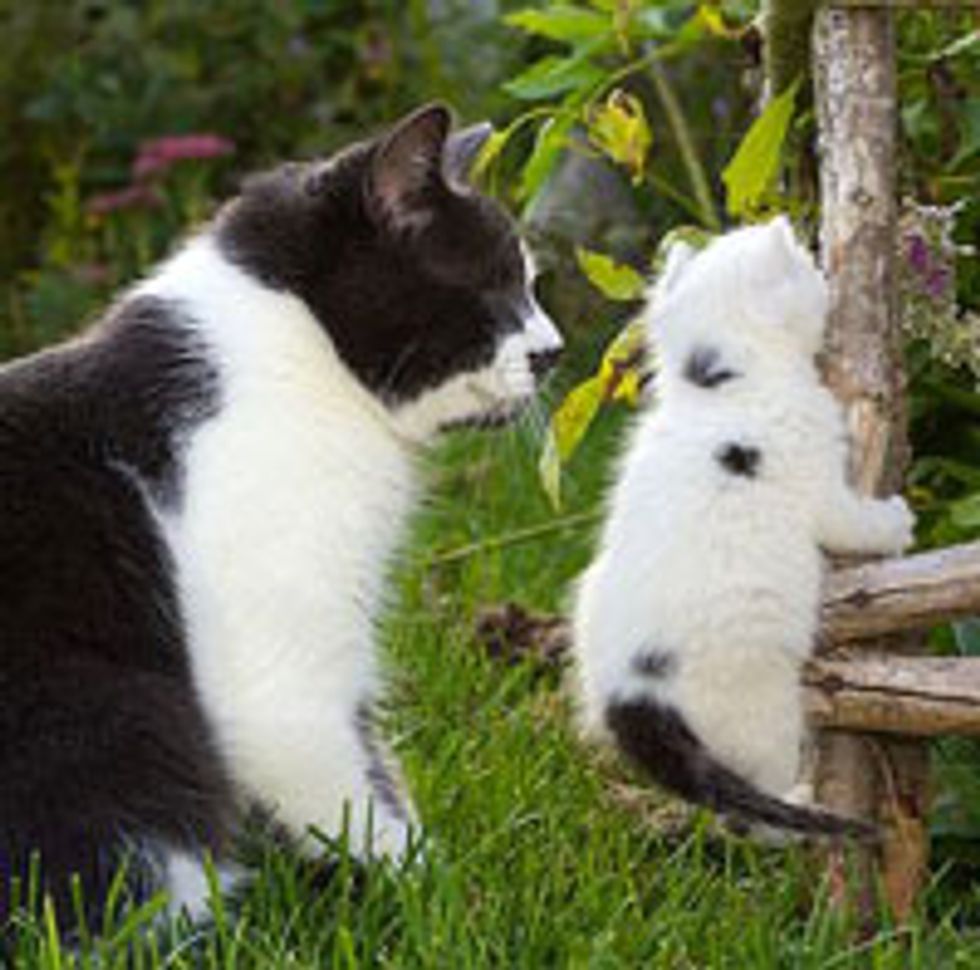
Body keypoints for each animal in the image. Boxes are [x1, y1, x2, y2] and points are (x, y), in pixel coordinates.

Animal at [0, 104, 564, 924]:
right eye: (491, 288)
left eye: (533, 286)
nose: (555, 350)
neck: (297, 356)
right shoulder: (286, 678)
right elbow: (358, 797)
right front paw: (445, 901)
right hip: (121, 713)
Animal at [572, 216, 916, 836]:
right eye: (806, 264)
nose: (822, 262)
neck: (721, 388)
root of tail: (631, 696)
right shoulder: (816, 472)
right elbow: (850, 521)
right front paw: (897, 523)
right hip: (764, 706)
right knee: (753, 814)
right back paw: (801, 797)